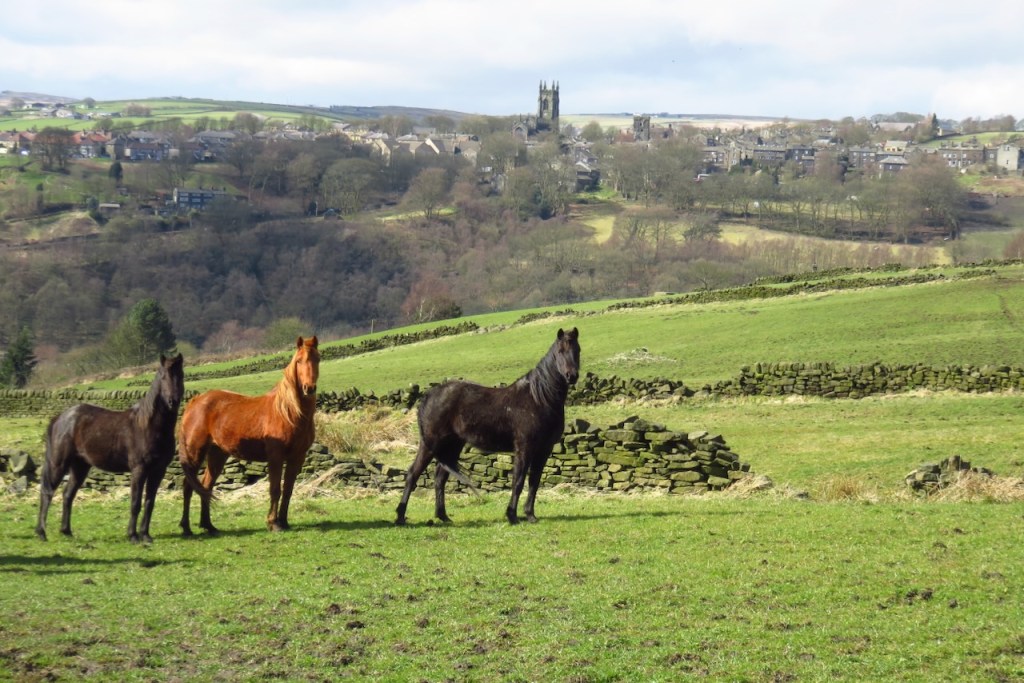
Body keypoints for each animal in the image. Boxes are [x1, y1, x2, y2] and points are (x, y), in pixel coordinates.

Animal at [35, 354, 207, 544]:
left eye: (181, 375)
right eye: (163, 376)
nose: (173, 401)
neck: (148, 426)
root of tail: (60, 418)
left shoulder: (158, 471)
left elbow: (149, 502)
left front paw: (145, 535)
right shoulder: (139, 469)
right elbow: (135, 503)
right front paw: (133, 536)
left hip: (80, 466)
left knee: (67, 495)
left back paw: (66, 532)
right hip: (58, 464)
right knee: (47, 492)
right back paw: (41, 533)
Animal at [178, 336, 319, 534]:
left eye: (317, 359)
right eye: (299, 361)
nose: (309, 388)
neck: (289, 412)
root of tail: (195, 401)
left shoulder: (297, 457)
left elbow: (288, 489)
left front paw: (284, 521)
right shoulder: (275, 457)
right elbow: (275, 489)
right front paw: (273, 523)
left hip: (217, 454)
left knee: (206, 486)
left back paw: (208, 525)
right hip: (195, 452)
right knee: (188, 486)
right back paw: (186, 528)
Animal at [396, 327, 580, 526]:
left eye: (577, 350)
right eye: (560, 351)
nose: (571, 376)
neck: (538, 398)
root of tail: (429, 396)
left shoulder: (544, 449)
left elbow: (534, 482)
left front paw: (530, 515)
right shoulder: (524, 448)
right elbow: (518, 481)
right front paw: (512, 515)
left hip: (451, 446)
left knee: (440, 479)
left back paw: (443, 516)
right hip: (431, 444)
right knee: (413, 474)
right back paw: (400, 517)